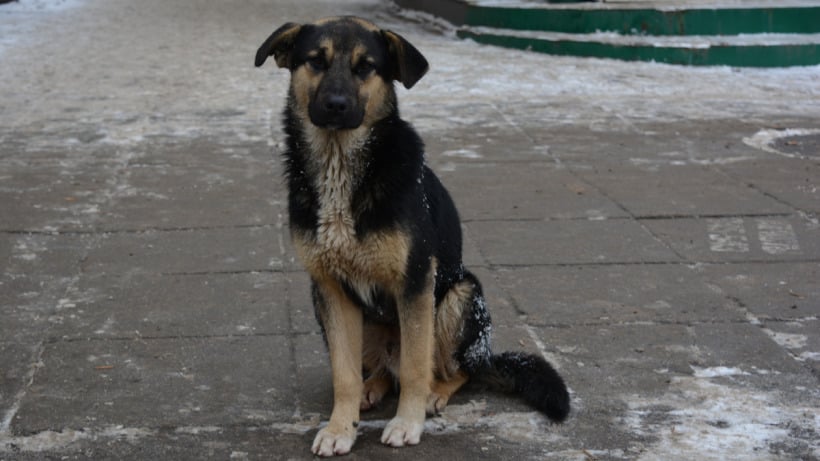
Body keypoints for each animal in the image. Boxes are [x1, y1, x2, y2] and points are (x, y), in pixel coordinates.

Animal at [256, 16, 572, 454]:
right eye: (316, 61)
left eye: (366, 67)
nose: (336, 105)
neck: (341, 168)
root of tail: (486, 354)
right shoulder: (330, 289)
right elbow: (344, 374)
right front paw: (340, 428)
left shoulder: (415, 282)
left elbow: (415, 365)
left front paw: (408, 422)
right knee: (384, 371)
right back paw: (372, 388)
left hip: (461, 296)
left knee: (456, 369)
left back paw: (436, 393)